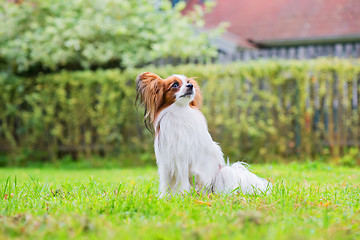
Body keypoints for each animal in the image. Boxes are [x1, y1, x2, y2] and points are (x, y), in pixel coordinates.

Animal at [136, 71, 272, 197]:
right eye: (175, 85)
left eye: (188, 82)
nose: (190, 86)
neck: (179, 112)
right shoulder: (167, 161)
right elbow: (166, 184)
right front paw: (164, 198)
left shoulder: (183, 159)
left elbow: (182, 182)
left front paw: (183, 196)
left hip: (218, 176)